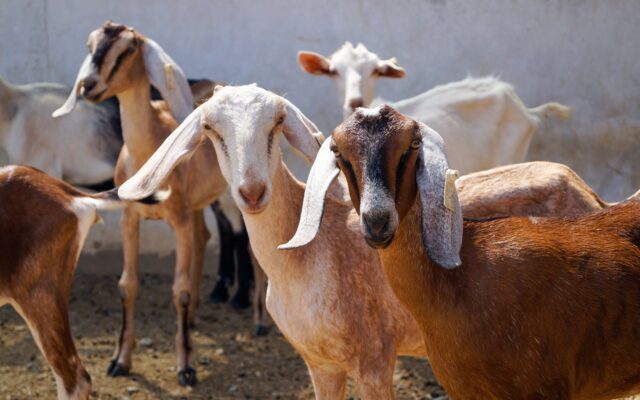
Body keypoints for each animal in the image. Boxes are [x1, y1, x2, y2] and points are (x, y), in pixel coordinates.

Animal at [53, 21, 228, 386]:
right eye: (90, 45)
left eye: (129, 48)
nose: (89, 85)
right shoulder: (130, 219)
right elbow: (127, 285)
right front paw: (120, 360)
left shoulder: (178, 221)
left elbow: (180, 291)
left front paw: (186, 367)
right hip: (196, 207)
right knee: (203, 238)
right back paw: (193, 319)